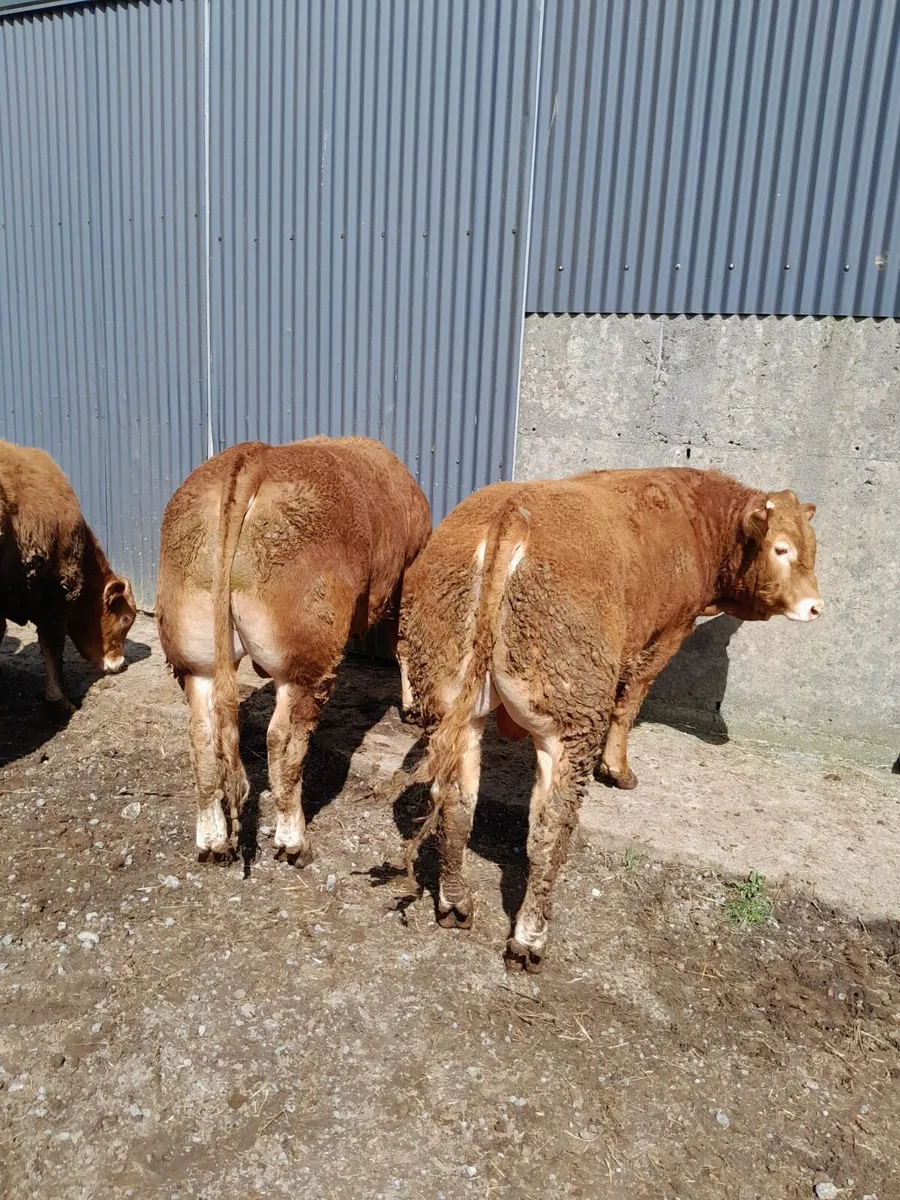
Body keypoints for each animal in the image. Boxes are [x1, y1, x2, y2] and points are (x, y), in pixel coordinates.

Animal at [156, 436, 431, 864]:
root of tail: (253, 457)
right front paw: (411, 706)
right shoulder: (407, 571)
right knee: (283, 739)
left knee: (202, 733)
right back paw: (293, 841)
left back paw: (213, 841)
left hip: (194, 652)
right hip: (303, 661)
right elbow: (401, 643)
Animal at [398, 467, 822, 971]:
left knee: (456, 802)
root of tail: (511, 512)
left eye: (812, 547)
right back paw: (530, 939)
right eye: (782, 549)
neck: (695, 518)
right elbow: (630, 701)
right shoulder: (664, 635)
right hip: (570, 715)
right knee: (550, 823)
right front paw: (618, 769)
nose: (816, 606)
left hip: (450, 695)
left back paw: (455, 904)